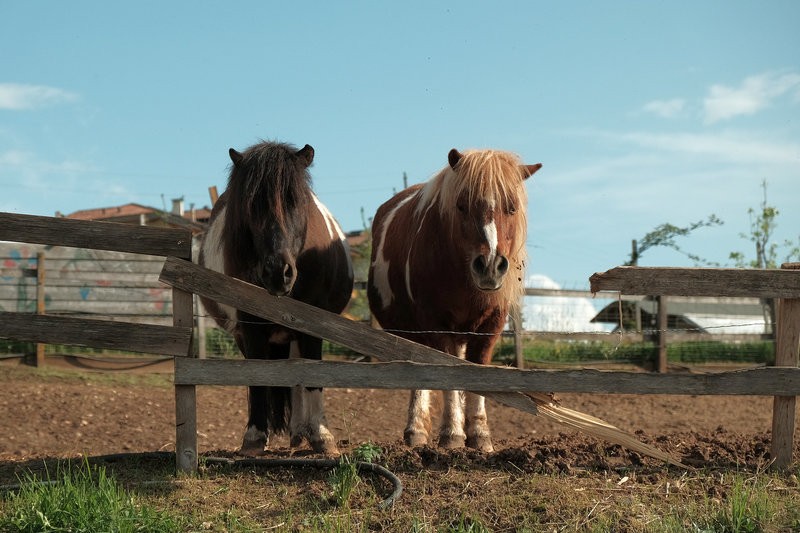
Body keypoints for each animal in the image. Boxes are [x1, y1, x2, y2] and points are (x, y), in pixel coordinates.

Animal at [198, 140, 352, 454]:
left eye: (297, 201)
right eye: (251, 205)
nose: (277, 273)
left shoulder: (313, 327)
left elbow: (312, 378)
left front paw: (322, 436)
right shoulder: (250, 326)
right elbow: (259, 379)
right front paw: (255, 438)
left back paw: (301, 431)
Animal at [368, 148, 540, 450]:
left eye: (512, 207)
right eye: (461, 206)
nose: (490, 265)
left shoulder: (489, 328)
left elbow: (476, 374)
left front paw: (479, 435)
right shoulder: (436, 326)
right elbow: (445, 376)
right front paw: (452, 434)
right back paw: (416, 430)